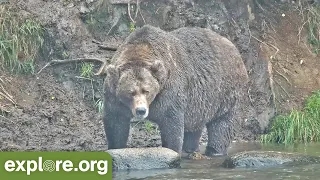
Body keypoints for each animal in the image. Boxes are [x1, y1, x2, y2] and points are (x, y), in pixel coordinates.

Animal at [102, 24, 250, 156]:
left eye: (146, 91)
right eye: (130, 92)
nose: (141, 110)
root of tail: (234, 48)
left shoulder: (169, 92)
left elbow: (171, 125)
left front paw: (171, 150)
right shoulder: (113, 96)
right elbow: (116, 123)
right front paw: (115, 147)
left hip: (226, 92)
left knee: (223, 124)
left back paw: (215, 151)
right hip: (200, 103)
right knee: (194, 126)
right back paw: (190, 149)